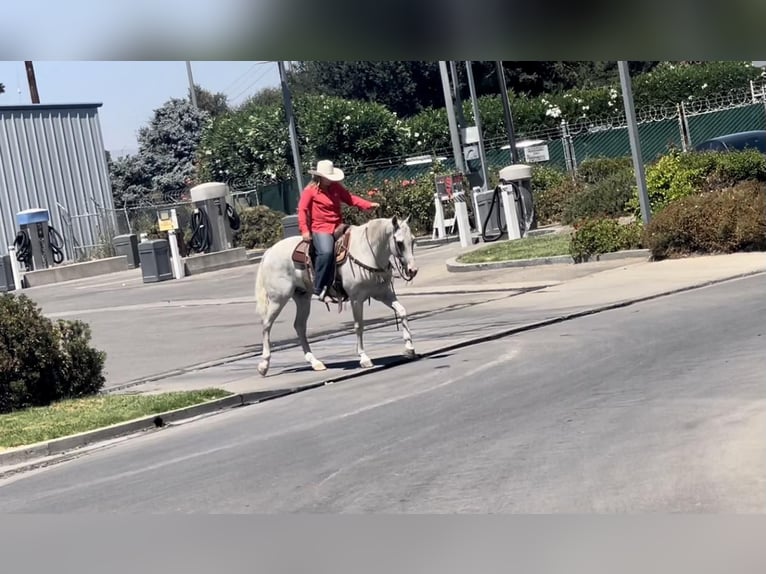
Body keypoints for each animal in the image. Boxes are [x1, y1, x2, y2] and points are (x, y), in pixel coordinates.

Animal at [255, 216, 420, 378]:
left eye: (412, 240)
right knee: (267, 325)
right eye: (399, 243)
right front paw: (364, 358)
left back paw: (315, 362)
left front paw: (409, 348)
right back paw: (264, 365)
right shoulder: (356, 299)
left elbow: (402, 311)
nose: (413, 270)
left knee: (299, 326)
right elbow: (359, 325)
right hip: (278, 298)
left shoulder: (383, 294)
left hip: (302, 298)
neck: (367, 251)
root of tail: (269, 251)